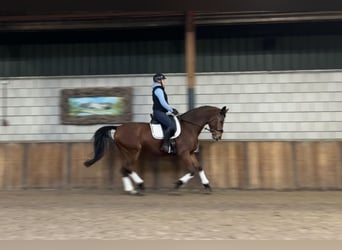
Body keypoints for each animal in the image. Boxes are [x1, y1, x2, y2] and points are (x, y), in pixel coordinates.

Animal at [84, 104, 228, 194]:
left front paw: (207, 186)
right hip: (133, 151)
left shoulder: (191, 153)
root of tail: (118, 128)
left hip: (126, 152)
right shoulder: (184, 154)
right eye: (220, 120)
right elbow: (192, 171)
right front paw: (177, 184)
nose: (218, 137)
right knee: (128, 167)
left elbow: (199, 167)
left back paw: (132, 190)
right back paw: (139, 186)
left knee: (124, 169)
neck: (189, 127)